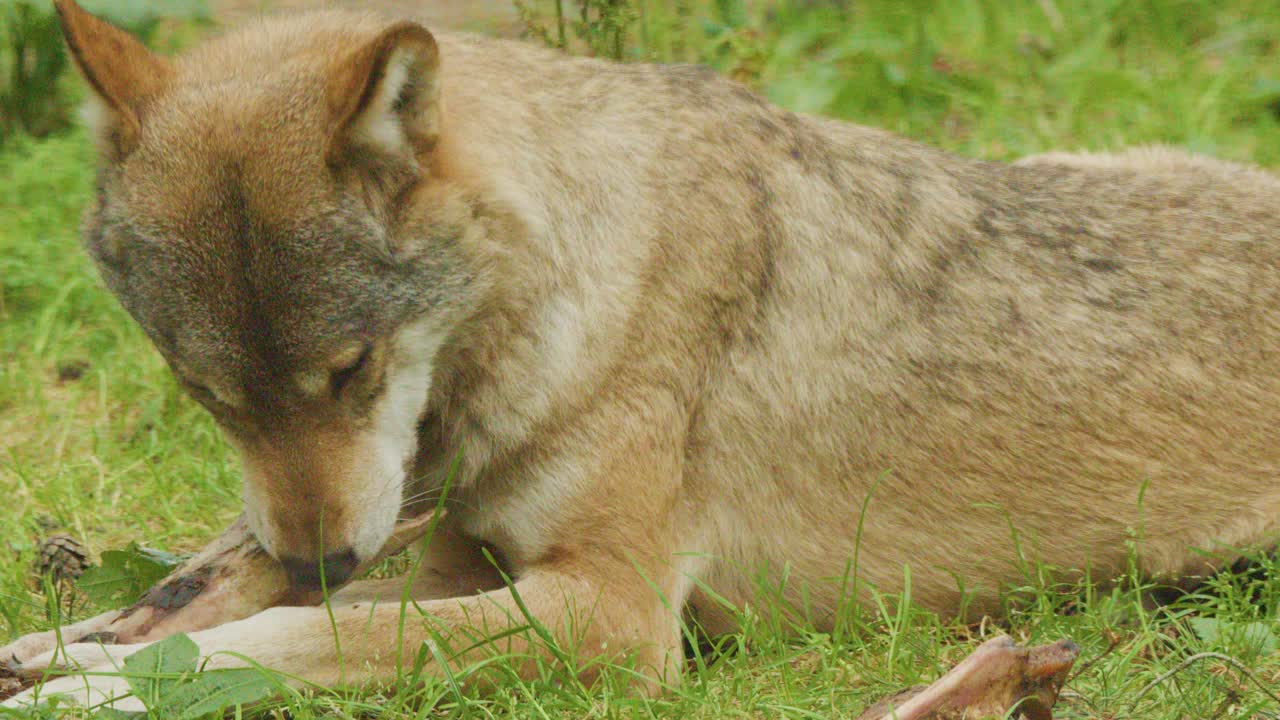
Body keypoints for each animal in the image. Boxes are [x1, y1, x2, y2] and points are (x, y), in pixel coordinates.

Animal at [5, 0, 1280, 710]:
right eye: (205, 396)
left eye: (352, 371)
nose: (319, 554)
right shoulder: (458, 549)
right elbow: (233, 597)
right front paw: (64, 653)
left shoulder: (613, 616)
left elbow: (298, 632)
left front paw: (101, 689)